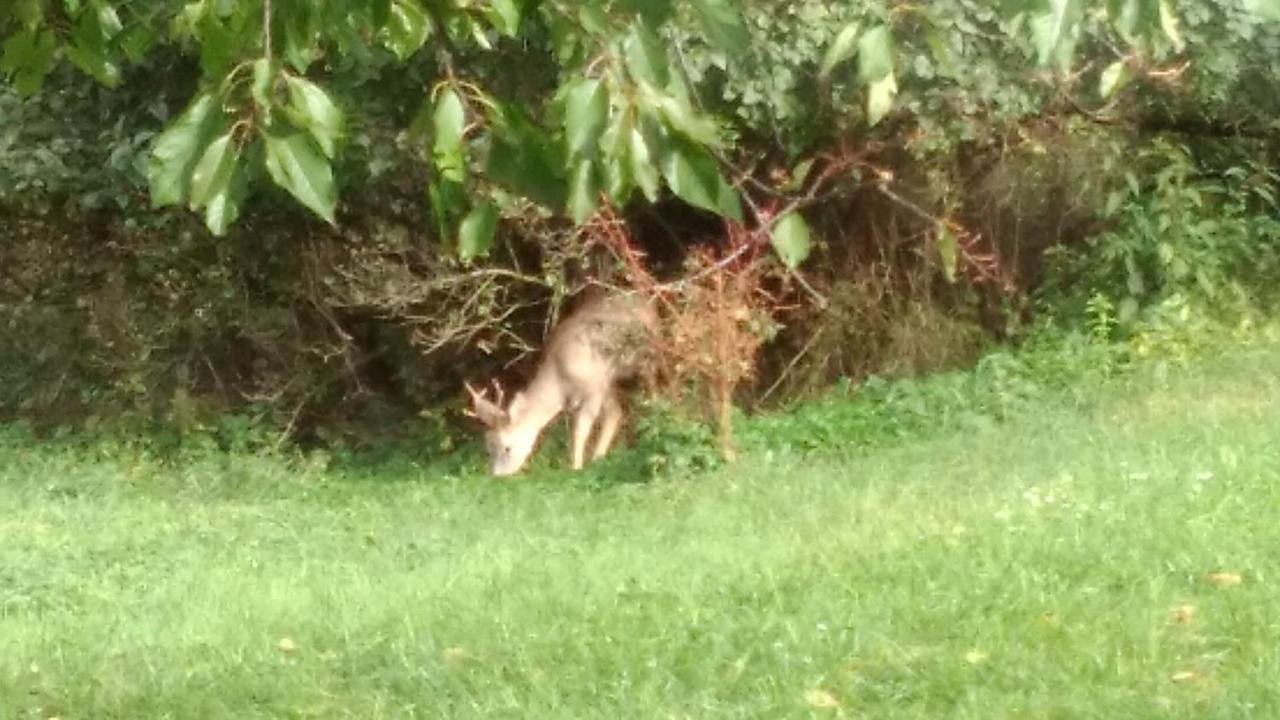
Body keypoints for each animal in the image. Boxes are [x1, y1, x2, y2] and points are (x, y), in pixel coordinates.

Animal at [463, 288, 660, 474]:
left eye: (507, 447)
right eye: (488, 448)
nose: (497, 475)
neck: (560, 377)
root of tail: (647, 303)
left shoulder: (594, 388)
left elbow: (580, 430)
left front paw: (576, 467)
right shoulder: (596, 387)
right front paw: (589, 461)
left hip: (645, 355)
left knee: (651, 386)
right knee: (617, 411)